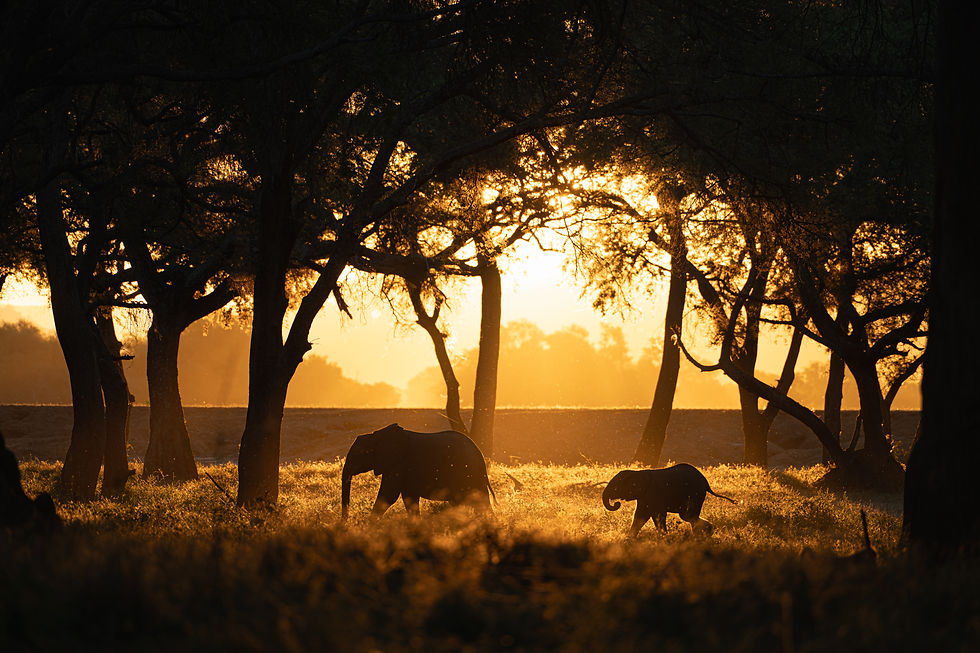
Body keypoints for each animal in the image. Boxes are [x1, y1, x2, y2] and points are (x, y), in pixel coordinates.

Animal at [341, 423, 495, 521]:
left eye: (359, 455)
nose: (346, 523)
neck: (377, 435)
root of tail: (479, 454)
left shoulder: (399, 463)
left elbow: (388, 495)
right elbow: (409, 497)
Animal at [602, 463, 735, 537]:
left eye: (615, 487)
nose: (617, 503)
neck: (637, 473)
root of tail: (706, 483)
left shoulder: (653, 492)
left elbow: (658, 514)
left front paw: (663, 537)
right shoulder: (644, 496)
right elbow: (641, 516)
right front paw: (629, 539)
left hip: (696, 494)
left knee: (687, 516)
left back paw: (704, 534)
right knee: (689, 516)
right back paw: (706, 533)